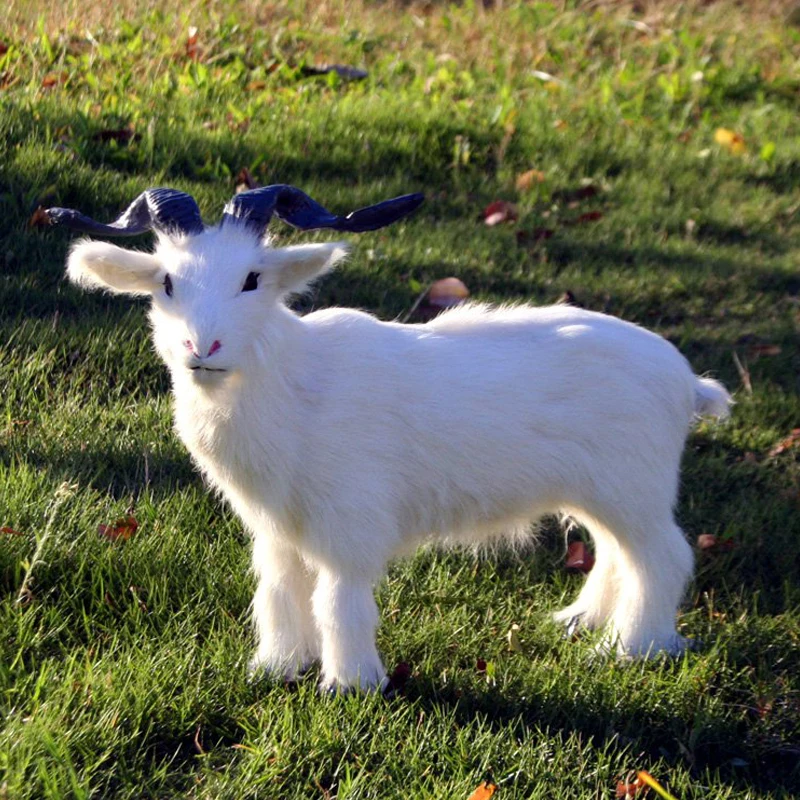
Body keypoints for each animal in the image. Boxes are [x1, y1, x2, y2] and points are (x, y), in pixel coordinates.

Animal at [49, 186, 731, 693]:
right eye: (166, 283)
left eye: (251, 280)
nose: (203, 347)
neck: (293, 381)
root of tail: (686, 381)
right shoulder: (277, 531)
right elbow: (279, 593)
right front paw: (275, 668)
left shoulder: (348, 525)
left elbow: (338, 600)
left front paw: (351, 685)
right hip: (603, 493)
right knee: (615, 554)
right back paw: (582, 623)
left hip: (634, 489)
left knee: (662, 557)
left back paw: (633, 650)